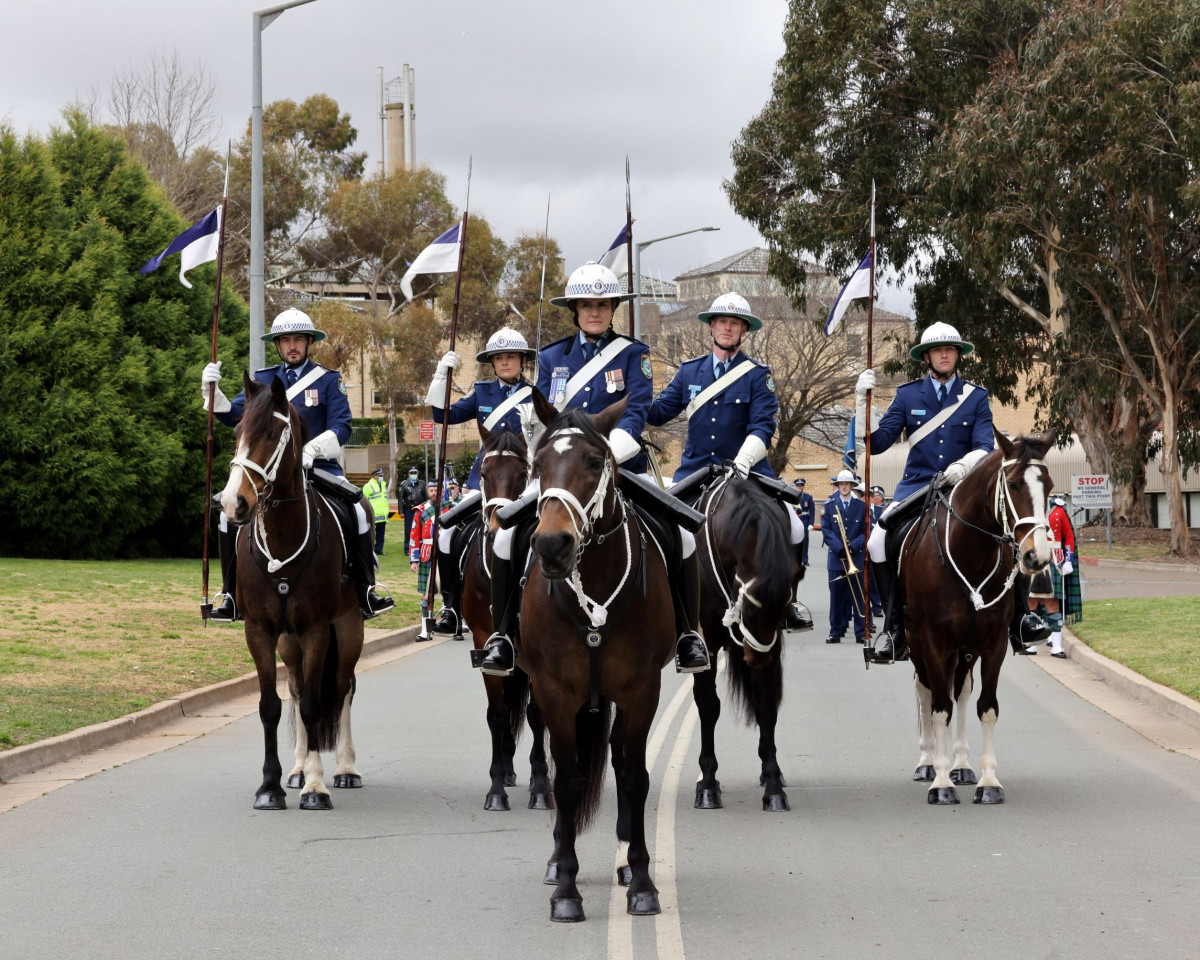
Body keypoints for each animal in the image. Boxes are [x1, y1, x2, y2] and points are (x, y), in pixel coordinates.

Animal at [219, 374, 360, 811]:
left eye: (269, 433)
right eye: (236, 432)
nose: (231, 503)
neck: (284, 537)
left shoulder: (316, 629)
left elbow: (317, 704)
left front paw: (316, 786)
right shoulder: (260, 631)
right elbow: (271, 706)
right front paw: (270, 785)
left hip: (348, 628)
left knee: (342, 688)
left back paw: (345, 769)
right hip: (289, 641)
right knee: (297, 690)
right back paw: (296, 769)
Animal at [523, 388, 681, 921]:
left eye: (595, 462)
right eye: (538, 464)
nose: (553, 545)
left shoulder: (641, 691)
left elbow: (634, 778)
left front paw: (643, 881)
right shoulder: (554, 692)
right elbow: (567, 783)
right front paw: (566, 888)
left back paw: (627, 862)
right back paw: (556, 859)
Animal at [696, 470, 796, 811]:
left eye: (783, 607)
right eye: (749, 607)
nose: (756, 659)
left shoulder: (773, 644)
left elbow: (766, 707)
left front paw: (774, 786)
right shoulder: (707, 646)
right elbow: (708, 706)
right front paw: (708, 784)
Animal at [902, 427, 1051, 801]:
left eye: (1049, 485)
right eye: (1013, 485)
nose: (1037, 557)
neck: (970, 553)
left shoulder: (993, 644)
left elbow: (986, 707)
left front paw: (988, 782)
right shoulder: (933, 642)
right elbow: (939, 708)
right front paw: (941, 784)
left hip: (965, 650)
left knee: (961, 691)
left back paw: (961, 765)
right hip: (917, 643)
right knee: (926, 690)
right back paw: (928, 762)